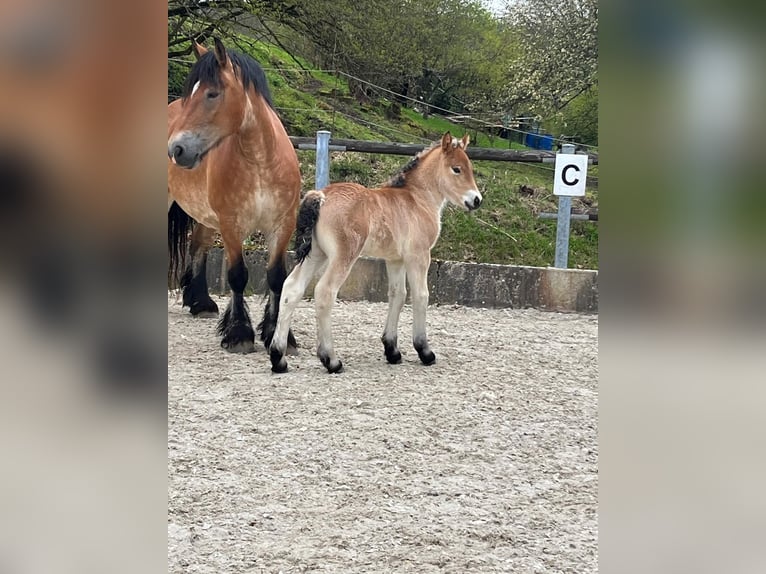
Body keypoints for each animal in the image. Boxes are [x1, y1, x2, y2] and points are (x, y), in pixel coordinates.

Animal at [168, 38, 300, 356]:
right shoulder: (231, 225)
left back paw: (200, 303)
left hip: (205, 217)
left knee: (198, 247)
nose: (176, 149)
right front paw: (239, 333)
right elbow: (238, 275)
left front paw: (278, 335)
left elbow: (276, 277)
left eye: (212, 93)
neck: (261, 162)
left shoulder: (282, 225)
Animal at [270, 133, 484, 376]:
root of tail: (321, 195)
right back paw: (331, 360)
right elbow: (421, 296)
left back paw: (278, 358)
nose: (476, 200)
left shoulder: (395, 260)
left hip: (316, 254)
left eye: (470, 168)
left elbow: (397, 295)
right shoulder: (418, 256)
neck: (417, 199)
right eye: (456, 169)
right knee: (325, 292)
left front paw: (392, 351)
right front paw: (425, 351)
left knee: (291, 289)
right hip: (343, 256)